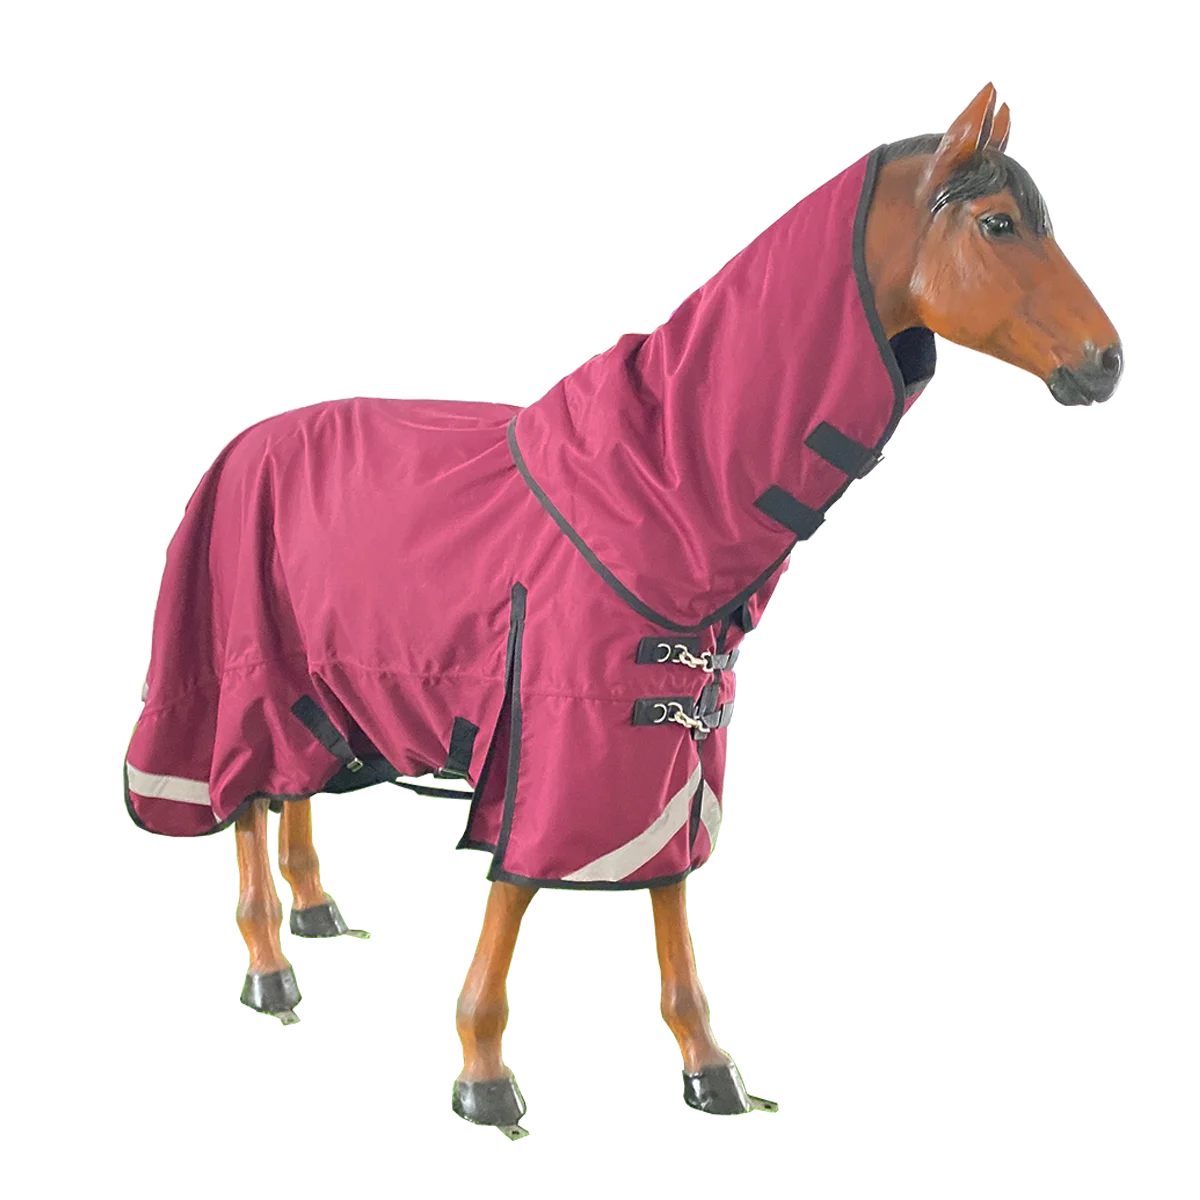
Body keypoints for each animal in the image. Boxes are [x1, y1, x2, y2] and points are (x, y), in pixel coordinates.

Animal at [122, 82, 1123, 1131]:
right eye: (998, 223)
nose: (1108, 361)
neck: (663, 473)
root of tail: (242, 445)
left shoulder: (672, 733)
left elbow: (668, 888)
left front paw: (706, 1063)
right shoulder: (561, 726)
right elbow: (517, 886)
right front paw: (485, 1067)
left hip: (332, 676)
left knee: (296, 785)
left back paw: (313, 912)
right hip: (246, 664)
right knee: (246, 795)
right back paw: (270, 960)